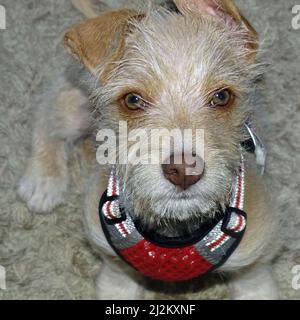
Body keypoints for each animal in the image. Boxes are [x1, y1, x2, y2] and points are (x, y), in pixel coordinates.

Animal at [18, 0, 278, 300]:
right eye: (132, 100)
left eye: (222, 96)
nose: (184, 171)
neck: (176, 231)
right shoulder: (116, 273)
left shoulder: (254, 271)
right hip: (75, 109)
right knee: (47, 113)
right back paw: (43, 180)